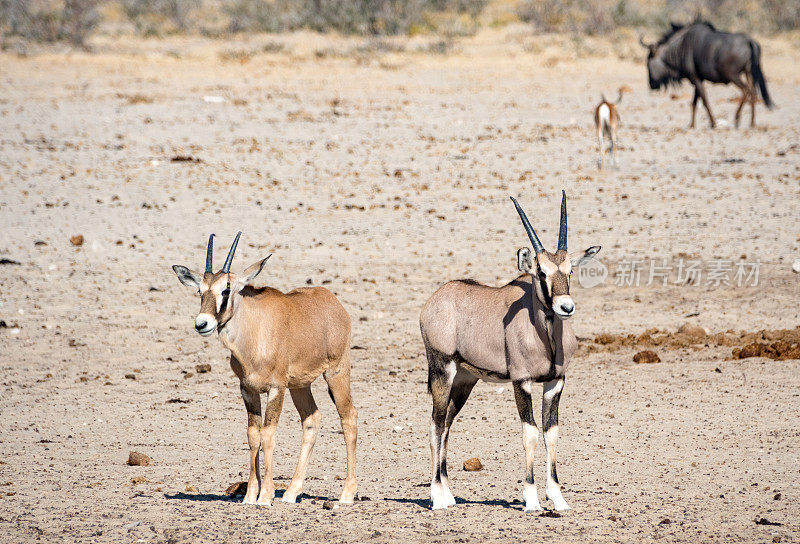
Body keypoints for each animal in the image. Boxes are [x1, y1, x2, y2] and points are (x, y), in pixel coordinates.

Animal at [173, 233, 358, 506]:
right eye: (200, 290)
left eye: (226, 289)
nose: (202, 324)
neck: (253, 334)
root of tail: (332, 301)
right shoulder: (247, 389)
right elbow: (253, 435)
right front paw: (251, 495)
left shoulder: (275, 388)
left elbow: (268, 434)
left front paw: (265, 496)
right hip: (300, 385)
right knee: (311, 420)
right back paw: (291, 492)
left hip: (336, 372)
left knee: (349, 417)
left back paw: (346, 493)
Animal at [418, 193, 600, 512]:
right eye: (541, 272)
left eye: (569, 271)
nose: (565, 307)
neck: (546, 336)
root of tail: (436, 300)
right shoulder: (521, 382)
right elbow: (530, 433)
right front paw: (532, 500)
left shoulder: (556, 382)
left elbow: (551, 433)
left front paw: (558, 498)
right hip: (442, 369)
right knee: (436, 423)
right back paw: (437, 497)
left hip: (464, 379)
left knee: (448, 423)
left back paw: (449, 495)